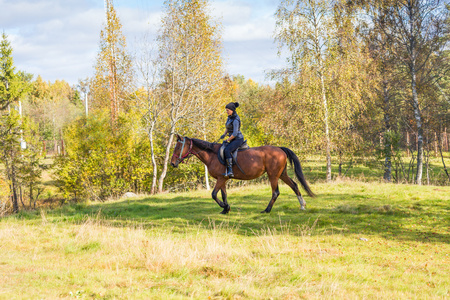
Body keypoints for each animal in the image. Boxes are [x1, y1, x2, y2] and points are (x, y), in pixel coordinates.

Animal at [171, 135, 314, 214]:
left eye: (177, 148)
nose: (172, 163)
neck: (212, 155)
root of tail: (280, 149)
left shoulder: (221, 178)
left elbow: (213, 194)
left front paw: (225, 207)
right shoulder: (223, 179)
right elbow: (223, 195)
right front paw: (226, 209)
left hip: (273, 175)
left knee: (275, 192)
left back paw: (267, 210)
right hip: (282, 174)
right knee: (294, 185)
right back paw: (302, 205)